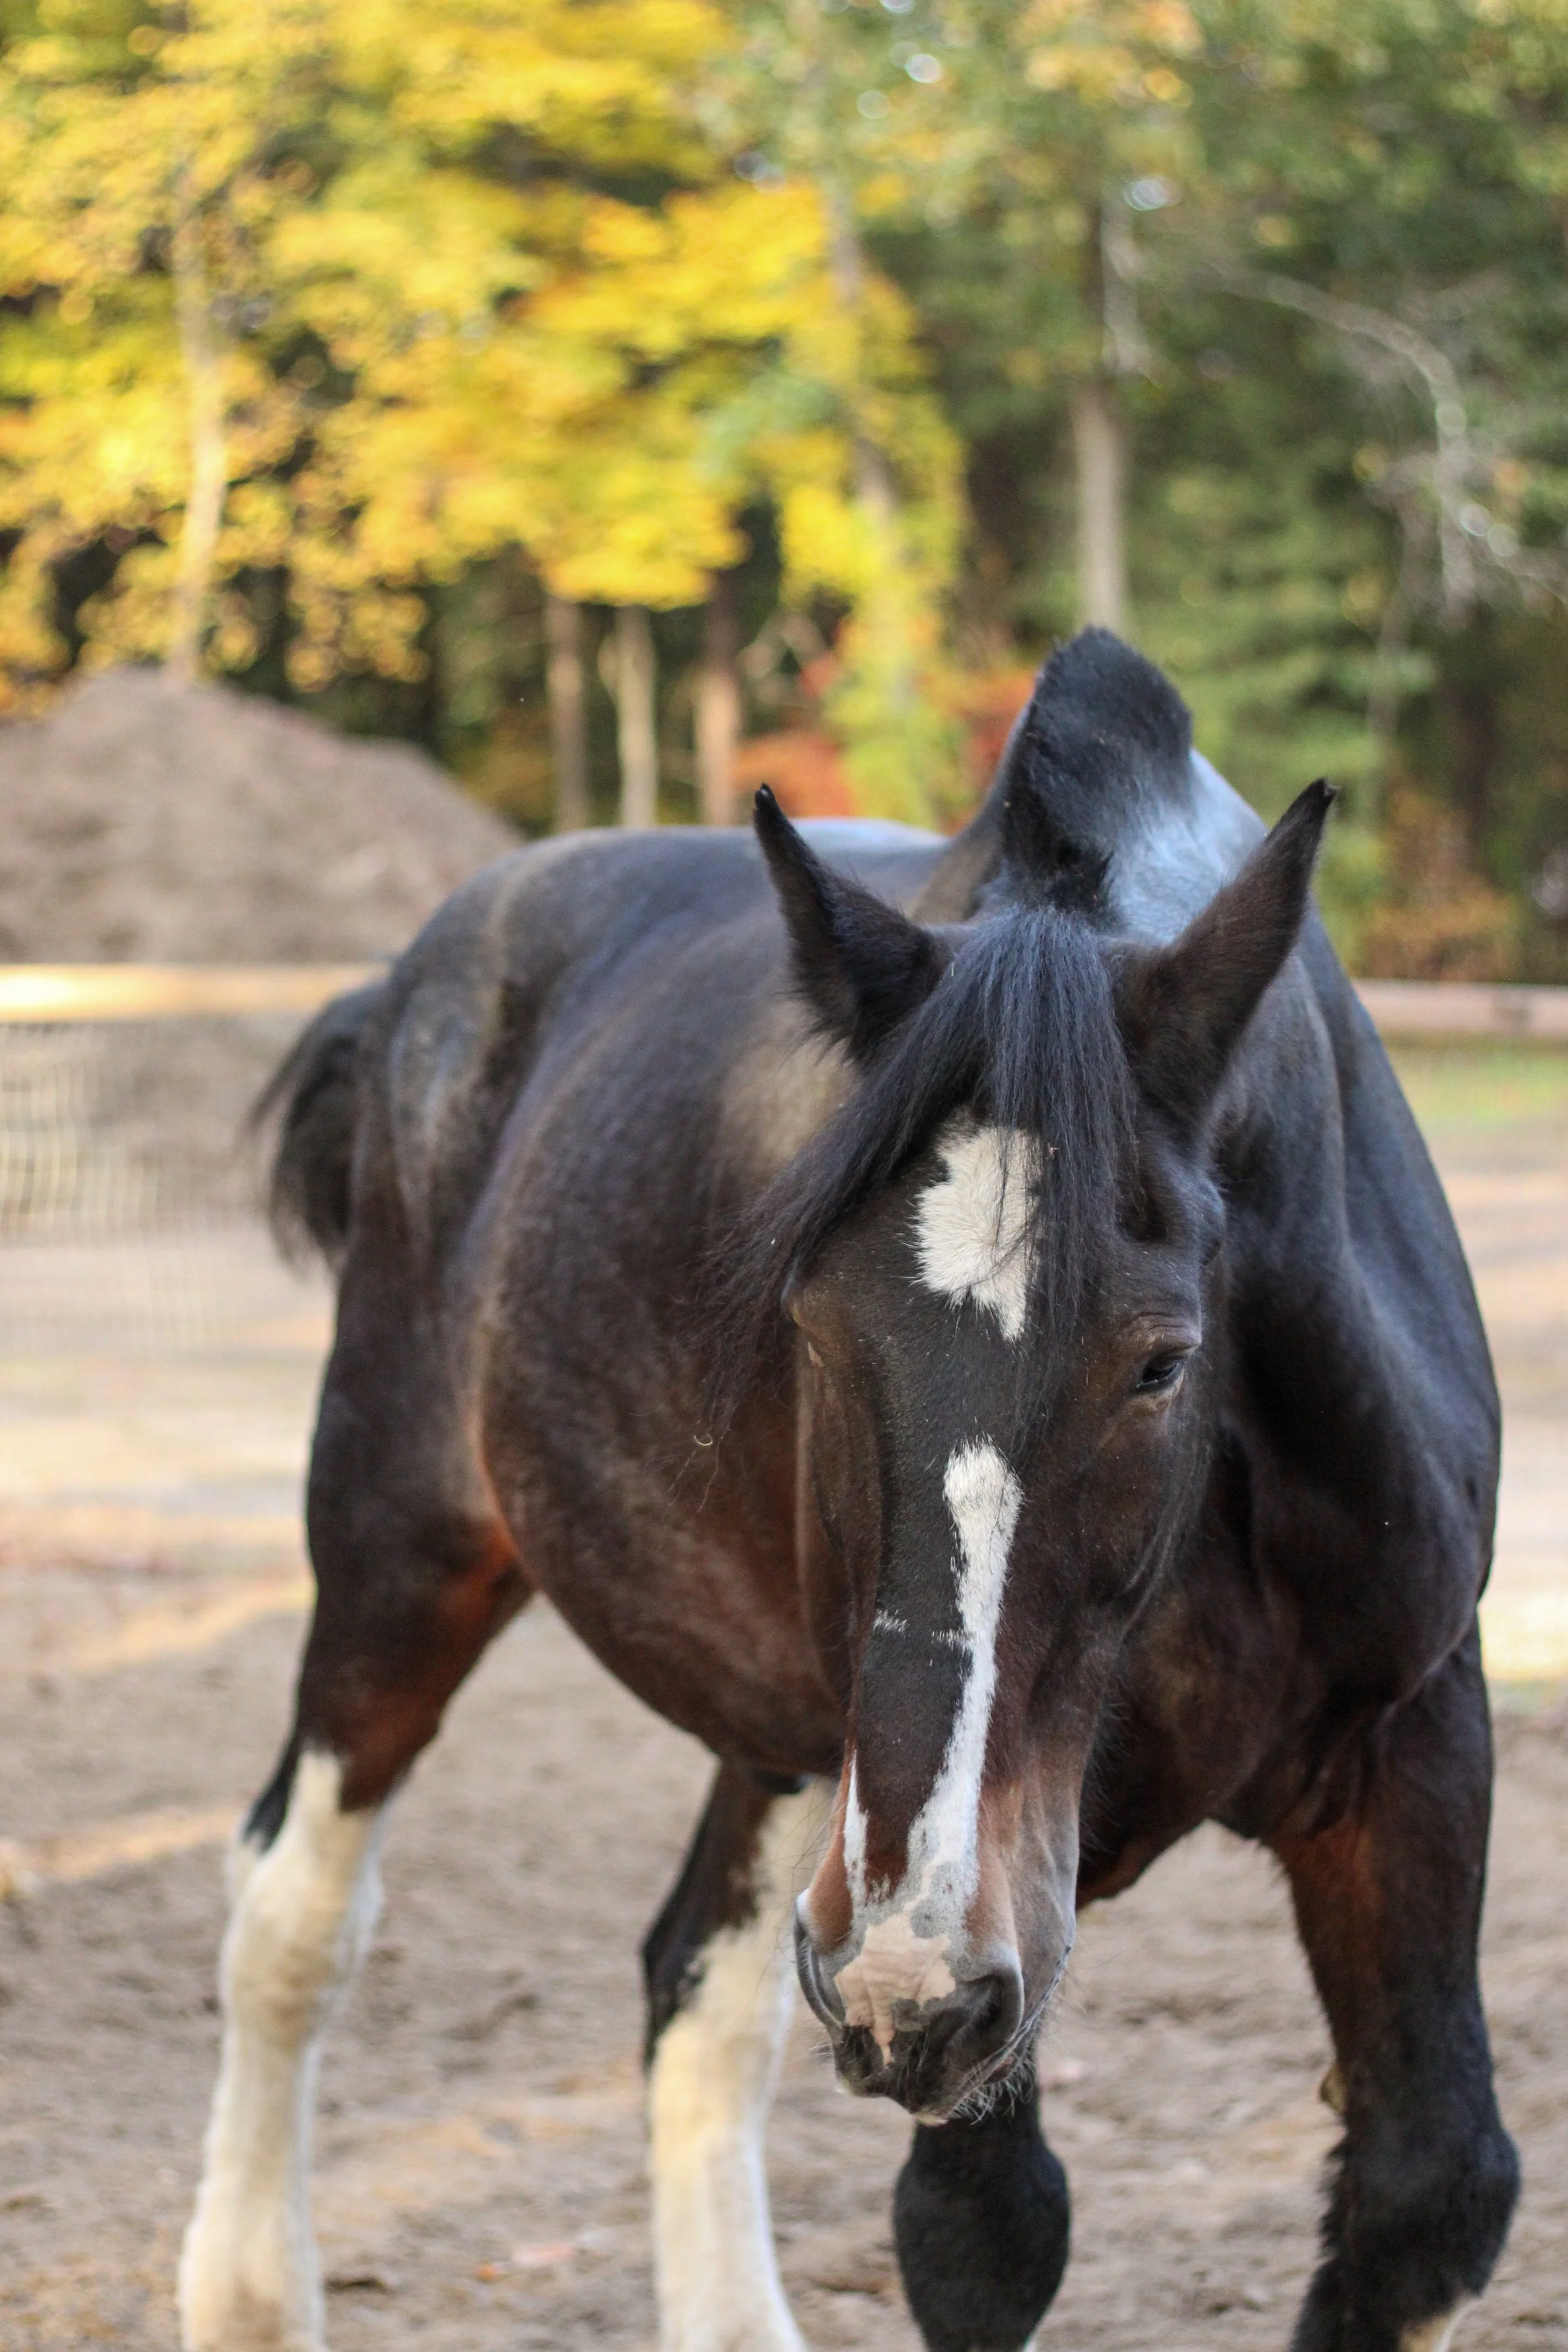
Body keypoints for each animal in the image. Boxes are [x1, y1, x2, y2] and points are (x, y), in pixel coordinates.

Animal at [179, 629, 1517, 2352]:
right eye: (809, 1324)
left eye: (1159, 1360)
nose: (909, 1972)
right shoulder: (956, 1932)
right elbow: (985, 2232)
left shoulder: (1407, 1739)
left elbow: (1429, 2191)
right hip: (401, 1556)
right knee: (293, 1906)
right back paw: (248, 2289)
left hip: (796, 1743)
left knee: (694, 1986)